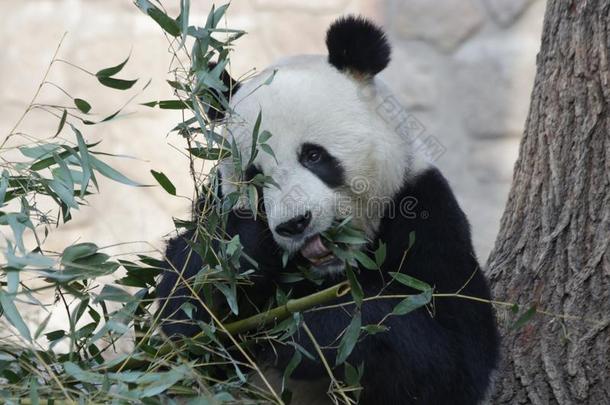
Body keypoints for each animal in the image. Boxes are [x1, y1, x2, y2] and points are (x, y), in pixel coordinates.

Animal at [158, 15, 498, 404]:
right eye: (255, 176)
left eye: (313, 155)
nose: (295, 224)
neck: (331, 272)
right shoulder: (210, 210)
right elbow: (179, 328)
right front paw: (248, 250)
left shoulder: (425, 216)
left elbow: (451, 356)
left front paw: (300, 335)